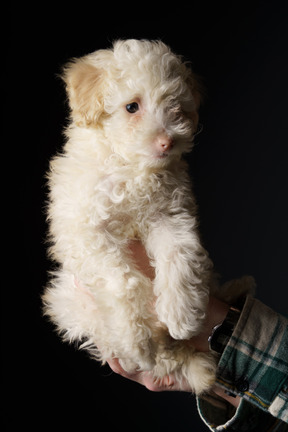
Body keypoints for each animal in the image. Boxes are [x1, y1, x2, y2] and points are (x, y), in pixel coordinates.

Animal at [42, 38, 252, 394]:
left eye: (175, 108)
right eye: (131, 107)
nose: (168, 141)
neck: (132, 169)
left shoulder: (169, 215)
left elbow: (179, 252)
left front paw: (182, 312)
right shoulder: (86, 231)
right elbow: (122, 279)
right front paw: (135, 338)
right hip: (72, 304)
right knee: (166, 359)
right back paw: (154, 349)